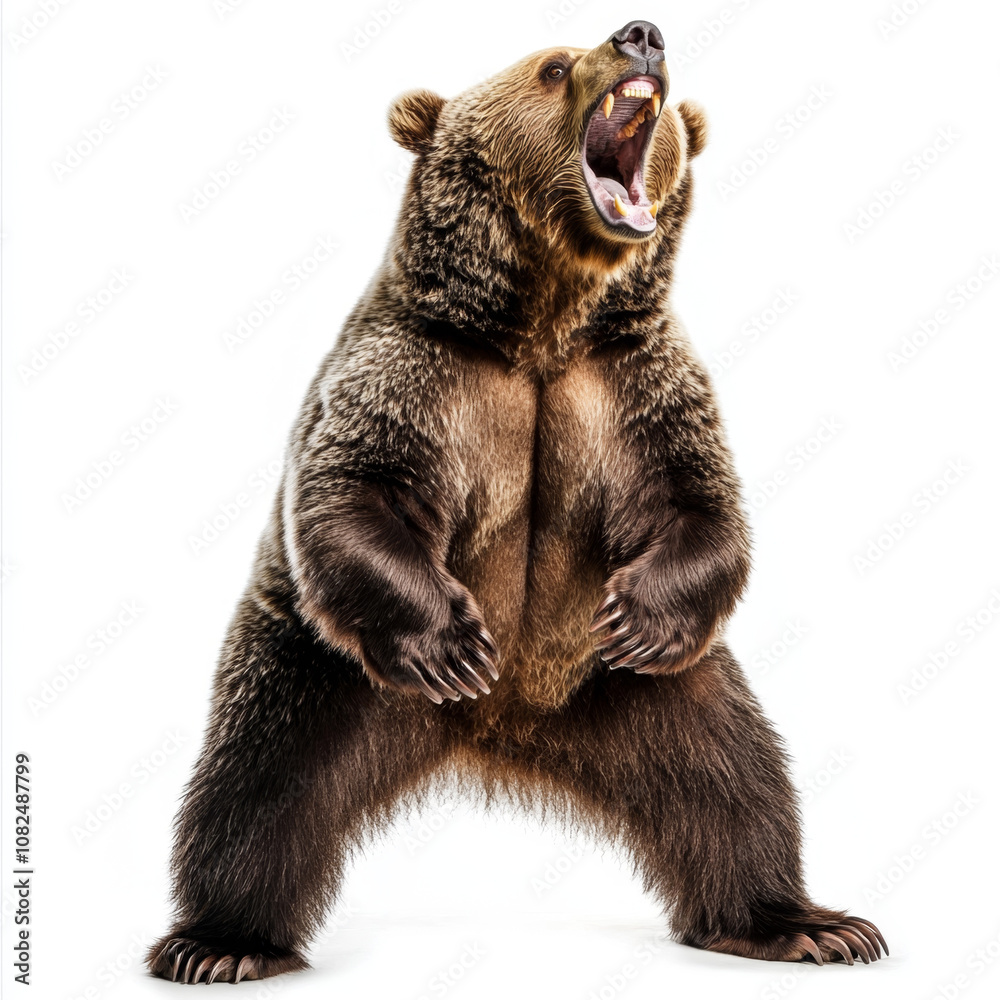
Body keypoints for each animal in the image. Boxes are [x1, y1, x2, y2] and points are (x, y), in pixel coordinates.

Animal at [148, 20, 887, 984]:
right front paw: (453, 641)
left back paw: (800, 923)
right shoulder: (418, 371)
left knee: (737, 785)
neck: (541, 325)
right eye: (554, 65)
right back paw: (220, 942)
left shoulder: (633, 386)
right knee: (258, 786)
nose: (642, 35)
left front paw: (641, 613)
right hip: (322, 674)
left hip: (649, 696)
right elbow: (353, 489)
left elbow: (699, 503)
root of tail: (503, 726)